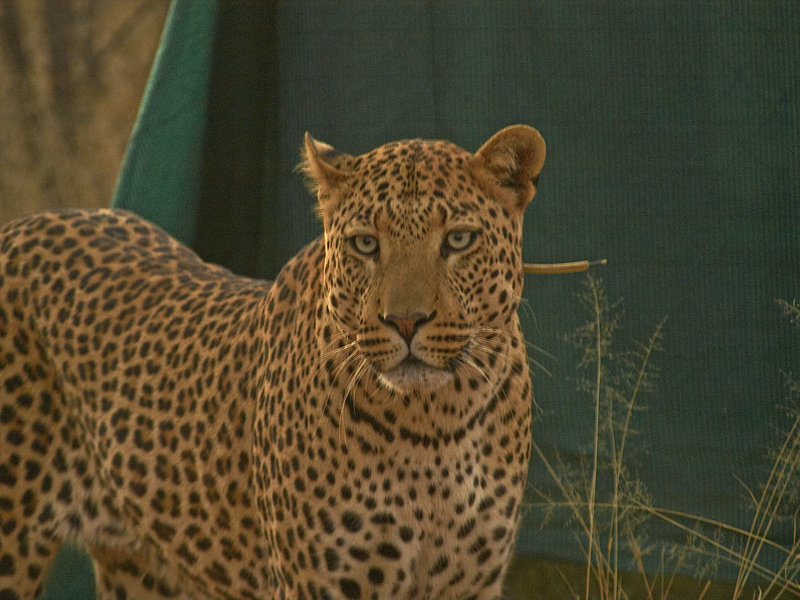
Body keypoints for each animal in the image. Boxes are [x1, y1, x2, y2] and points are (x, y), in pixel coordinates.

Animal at [0, 124, 545, 600]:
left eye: (458, 239)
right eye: (366, 244)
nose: (406, 321)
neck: (437, 423)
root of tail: (26, 223)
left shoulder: (471, 582)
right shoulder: (317, 584)